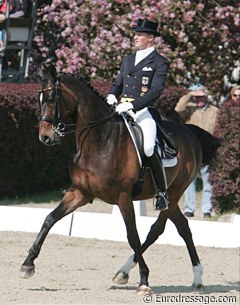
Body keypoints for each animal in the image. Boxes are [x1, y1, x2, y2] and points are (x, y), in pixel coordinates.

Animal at [19, 64, 220, 294]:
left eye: (52, 98)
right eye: (39, 100)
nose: (45, 137)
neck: (100, 141)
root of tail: (190, 133)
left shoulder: (123, 197)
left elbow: (132, 235)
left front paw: (144, 281)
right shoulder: (80, 192)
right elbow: (49, 219)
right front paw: (27, 265)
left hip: (175, 191)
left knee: (156, 229)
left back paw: (127, 272)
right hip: (172, 196)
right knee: (183, 227)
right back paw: (196, 276)